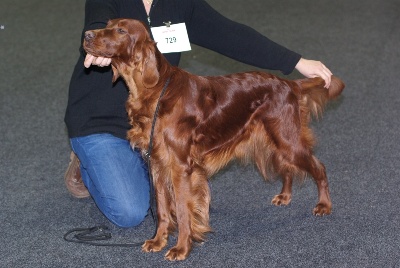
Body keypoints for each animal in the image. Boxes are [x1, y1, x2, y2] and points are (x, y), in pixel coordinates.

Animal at [83, 18, 344, 260]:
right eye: (107, 24)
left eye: (121, 30)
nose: (87, 35)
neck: (157, 91)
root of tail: (289, 84)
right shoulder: (157, 162)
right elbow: (163, 209)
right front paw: (158, 241)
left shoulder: (181, 166)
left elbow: (182, 209)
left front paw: (181, 248)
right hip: (275, 137)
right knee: (287, 166)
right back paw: (285, 196)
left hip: (287, 139)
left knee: (318, 167)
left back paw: (324, 205)